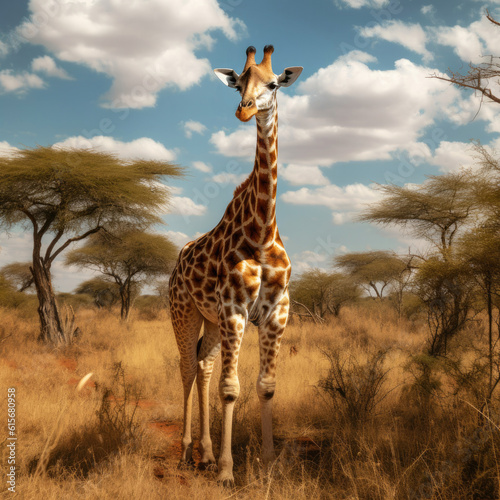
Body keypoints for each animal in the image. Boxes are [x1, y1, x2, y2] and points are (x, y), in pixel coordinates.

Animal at [168, 45, 302, 486]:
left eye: (274, 84)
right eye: (239, 82)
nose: (244, 110)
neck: (262, 232)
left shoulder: (276, 312)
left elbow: (265, 386)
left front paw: (269, 463)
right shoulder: (234, 309)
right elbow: (231, 389)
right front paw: (228, 472)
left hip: (211, 321)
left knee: (204, 365)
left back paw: (206, 454)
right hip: (185, 312)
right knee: (188, 367)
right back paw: (188, 452)